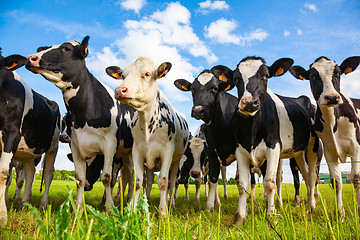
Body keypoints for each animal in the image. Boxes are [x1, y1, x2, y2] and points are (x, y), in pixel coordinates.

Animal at [0, 52, 60, 223]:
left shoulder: (12, 133)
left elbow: (3, 173)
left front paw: (2, 216)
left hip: (53, 147)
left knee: (48, 175)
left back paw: (43, 205)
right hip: (28, 151)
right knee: (31, 172)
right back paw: (25, 204)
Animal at [25, 35, 135, 210]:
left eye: (67, 48)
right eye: (45, 48)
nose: (31, 58)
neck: (86, 114)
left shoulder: (110, 146)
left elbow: (107, 178)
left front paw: (109, 207)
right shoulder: (76, 146)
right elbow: (79, 179)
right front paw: (78, 207)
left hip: (129, 153)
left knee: (130, 177)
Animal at [105, 57, 190, 215]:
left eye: (147, 74)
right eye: (123, 75)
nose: (120, 90)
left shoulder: (167, 151)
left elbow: (163, 181)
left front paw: (163, 212)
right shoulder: (137, 152)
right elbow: (138, 182)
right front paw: (132, 208)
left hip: (176, 161)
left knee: (172, 182)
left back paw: (171, 202)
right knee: (149, 181)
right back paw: (147, 200)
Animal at [290, 55, 360, 216]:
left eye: (338, 73)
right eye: (313, 76)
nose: (332, 97)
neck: (332, 122)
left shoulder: (356, 146)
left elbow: (356, 177)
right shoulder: (329, 150)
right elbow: (336, 181)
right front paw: (340, 213)